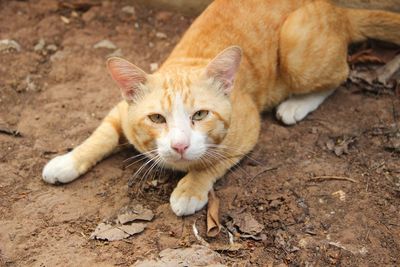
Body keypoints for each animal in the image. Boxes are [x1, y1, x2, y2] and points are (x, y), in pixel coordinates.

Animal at [41, 0, 400, 217]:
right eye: (156, 118)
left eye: (200, 115)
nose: (179, 145)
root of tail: (337, 8)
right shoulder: (121, 111)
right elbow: (99, 136)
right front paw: (66, 161)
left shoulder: (247, 125)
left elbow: (213, 161)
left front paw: (190, 188)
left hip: (297, 49)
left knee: (342, 73)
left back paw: (296, 105)